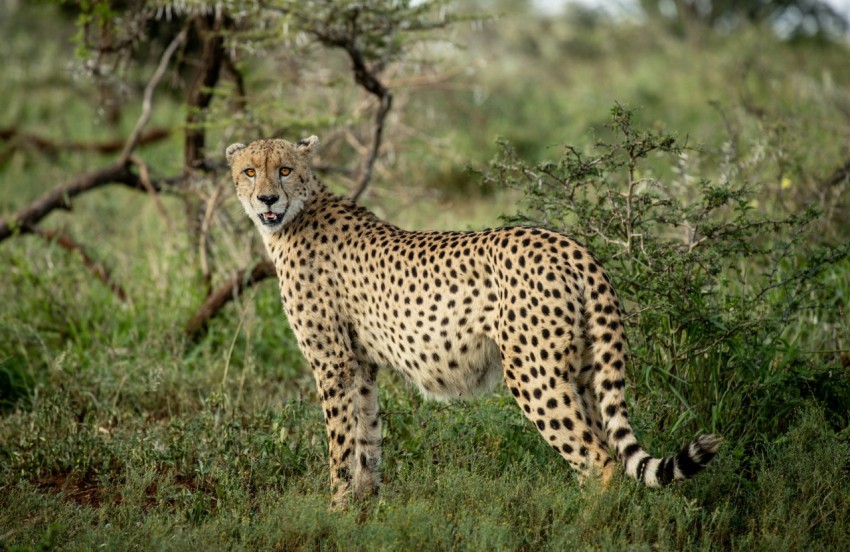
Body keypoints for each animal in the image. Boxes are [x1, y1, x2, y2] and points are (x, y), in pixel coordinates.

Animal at [224, 136, 716, 506]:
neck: (296, 215)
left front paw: (336, 511)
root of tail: (570, 244)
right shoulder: (361, 365)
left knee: (599, 459)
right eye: (250, 171)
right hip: (581, 371)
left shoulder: (334, 363)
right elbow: (367, 441)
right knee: (600, 446)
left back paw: (584, 525)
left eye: (284, 169)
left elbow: (341, 445)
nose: (267, 197)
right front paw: (364, 509)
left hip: (534, 373)